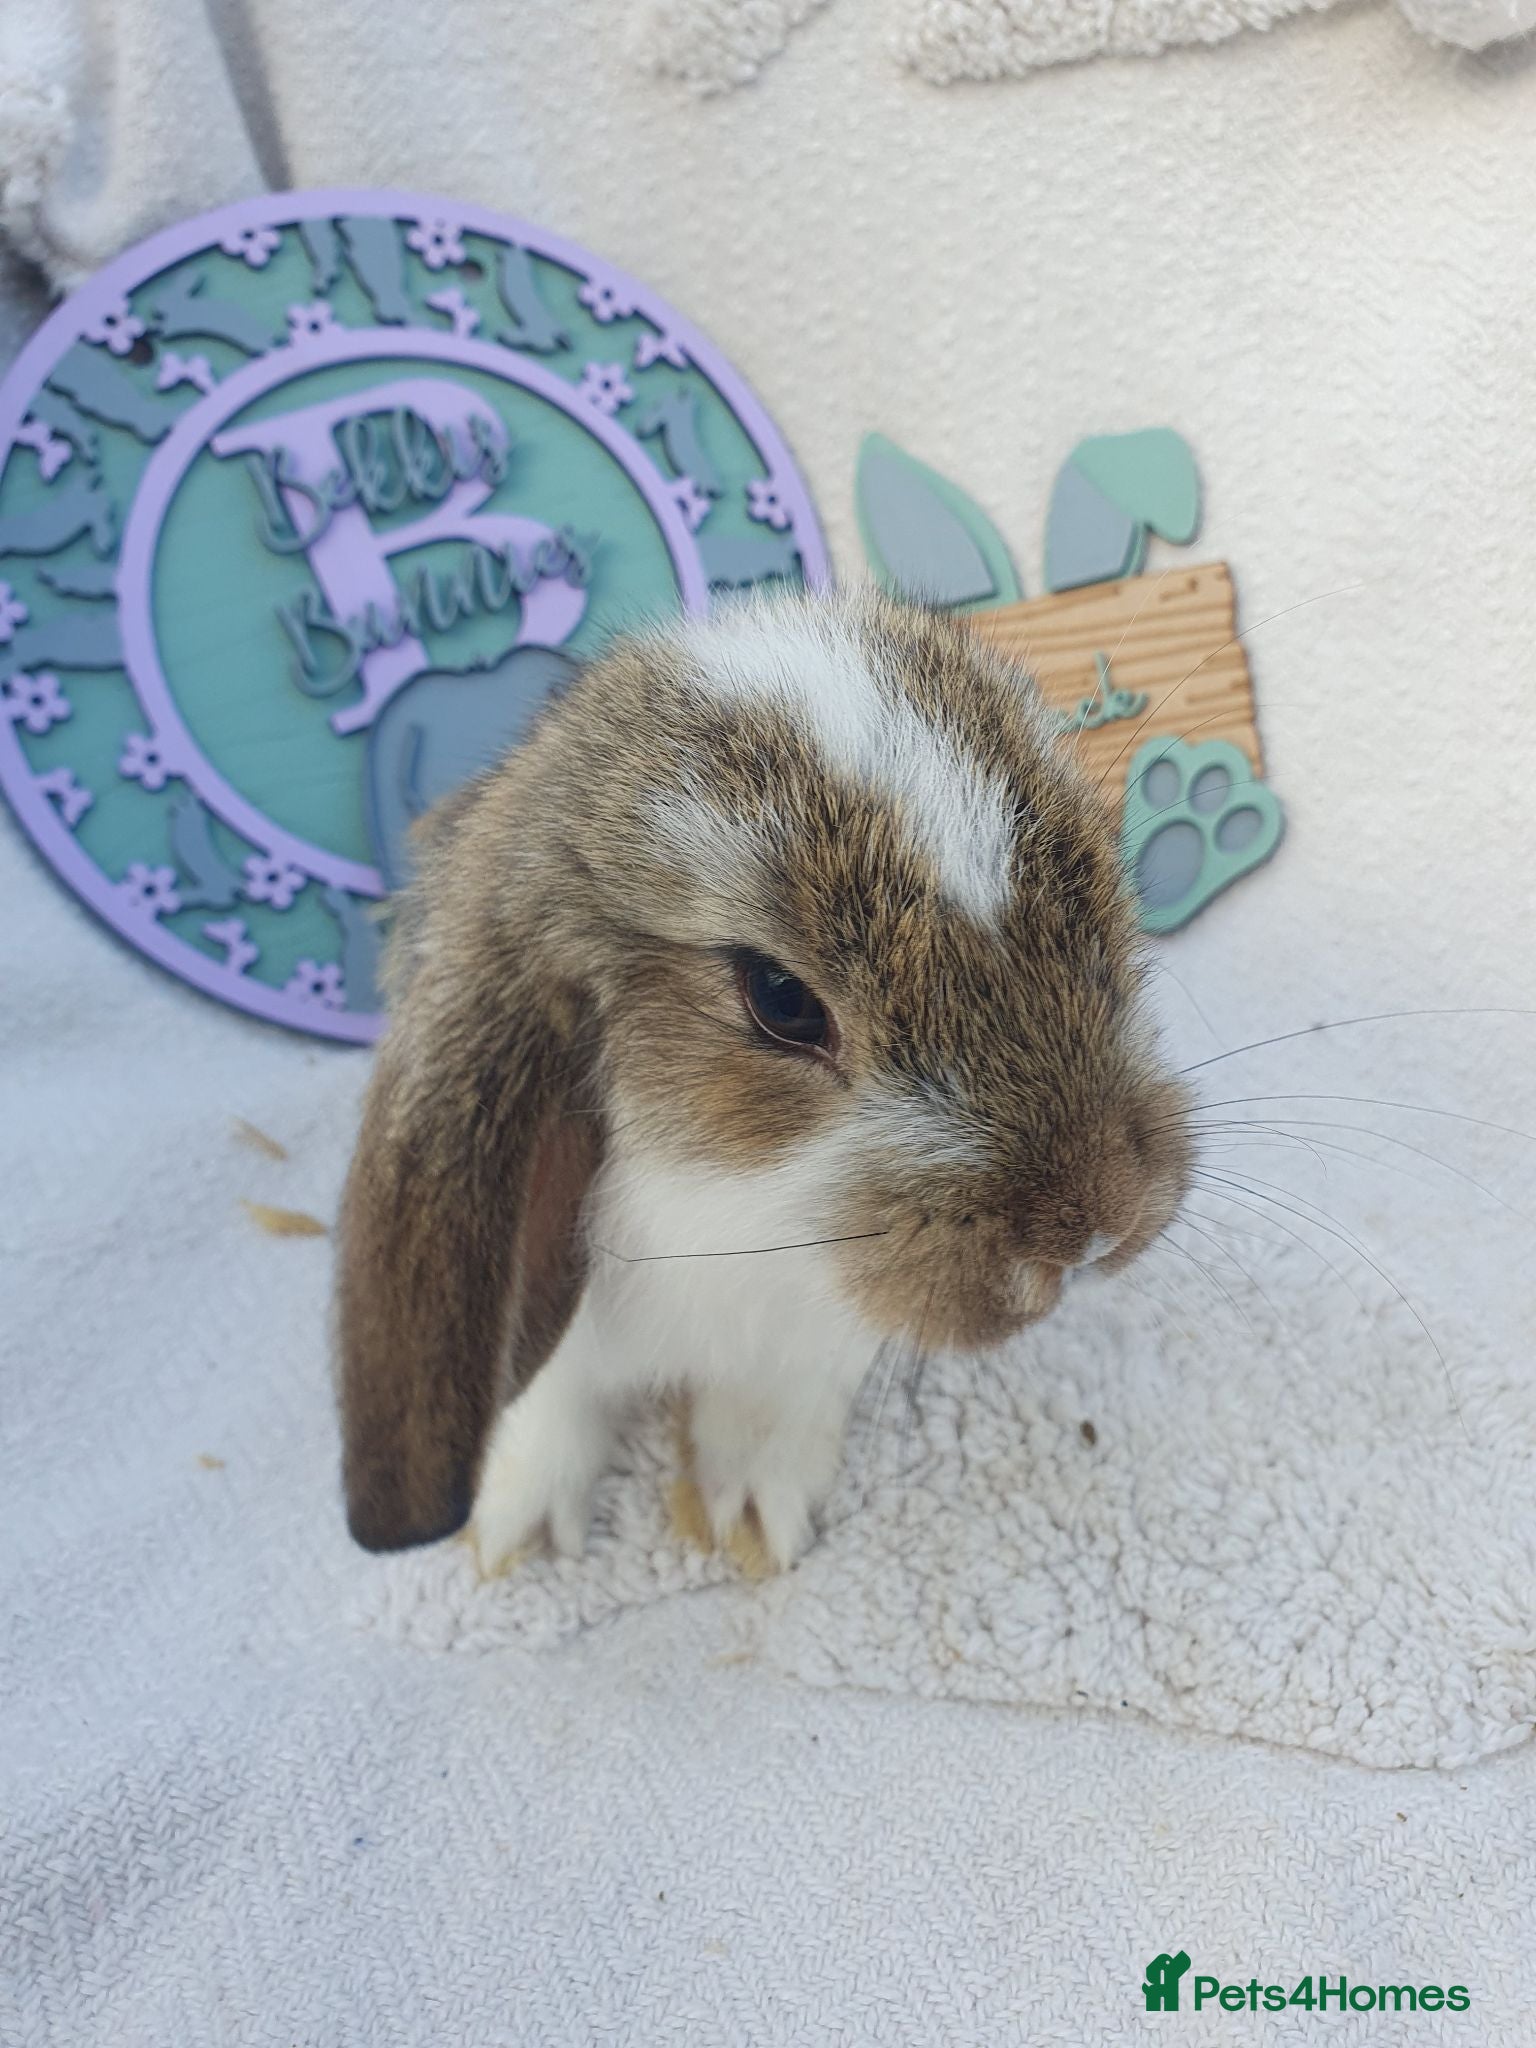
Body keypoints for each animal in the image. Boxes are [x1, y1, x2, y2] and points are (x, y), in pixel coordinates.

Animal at [335, 585, 1194, 1573]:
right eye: (781, 999)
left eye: (1093, 884)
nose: (1098, 1230)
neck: (725, 1214)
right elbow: (552, 1403)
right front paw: (521, 1535)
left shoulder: (812, 1345)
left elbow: (767, 1410)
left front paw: (750, 1514)